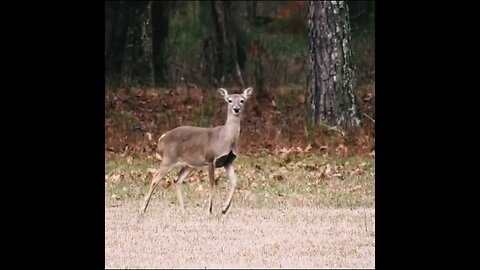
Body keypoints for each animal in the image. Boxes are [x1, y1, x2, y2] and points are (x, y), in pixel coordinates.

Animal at [140, 86, 255, 215]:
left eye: (242, 100)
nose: (236, 109)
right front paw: (209, 210)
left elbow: (235, 181)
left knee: (177, 180)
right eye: (229, 100)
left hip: (189, 164)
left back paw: (183, 211)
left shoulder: (228, 161)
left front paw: (224, 209)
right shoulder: (210, 159)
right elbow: (212, 184)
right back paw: (142, 210)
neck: (226, 139)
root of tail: (162, 139)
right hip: (169, 159)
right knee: (155, 178)